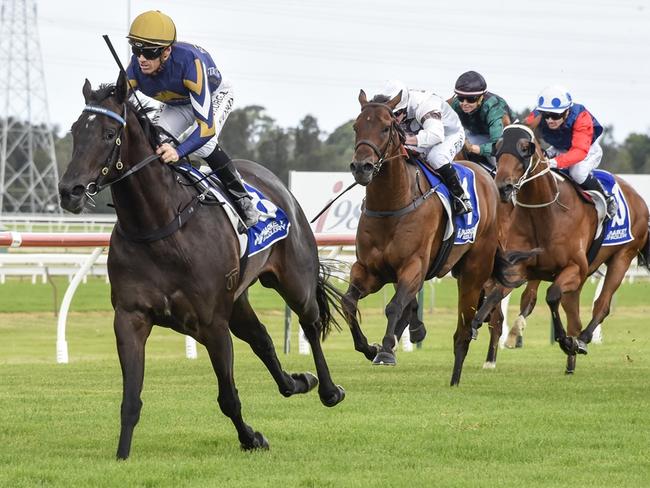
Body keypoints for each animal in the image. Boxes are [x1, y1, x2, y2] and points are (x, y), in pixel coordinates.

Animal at [58, 71, 346, 458]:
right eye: (75, 130)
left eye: (107, 133)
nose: (69, 191)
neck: (159, 227)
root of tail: (274, 181)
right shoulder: (131, 318)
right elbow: (130, 399)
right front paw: (121, 456)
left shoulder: (212, 323)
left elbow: (228, 398)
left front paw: (250, 438)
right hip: (237, 299)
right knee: (262, 339)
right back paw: (297, 381)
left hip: (293, 280)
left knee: (310, 323)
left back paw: (329, 389)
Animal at [342, 88, 498, 386]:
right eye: (356, 126)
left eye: (386, 127)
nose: (362, 167)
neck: (391, 205)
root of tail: (485, 175)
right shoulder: (368, 269)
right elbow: (348, 302)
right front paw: (370, 347)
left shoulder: (413, 265)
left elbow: (393, 306)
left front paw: (386, 350)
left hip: (476, 265)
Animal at [470, 123, 648, 374]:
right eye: (498, 146)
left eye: (525, 148)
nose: (503, 187)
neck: (546, 214)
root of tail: (638, 197)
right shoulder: (520, 267)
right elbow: (497, 294)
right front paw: (479, 323)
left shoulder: (574, 268)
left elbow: (552, 296)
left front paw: (565, 341)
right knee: (574, 315)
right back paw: (570, 364)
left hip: (622, 257)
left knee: (601, 306)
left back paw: (581, 340)